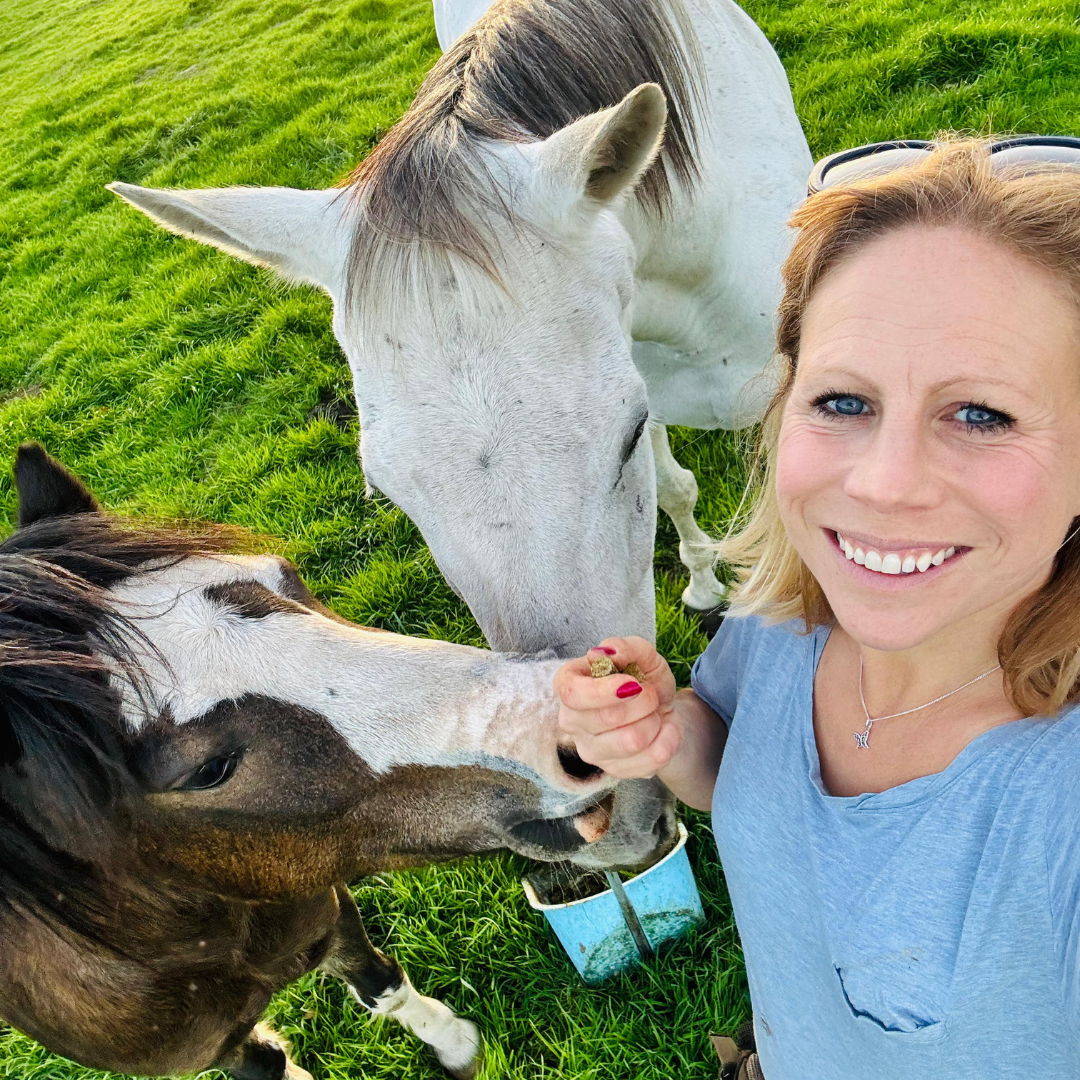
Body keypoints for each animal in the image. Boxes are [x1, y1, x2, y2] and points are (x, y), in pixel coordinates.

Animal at [0, 444, 674, 1080]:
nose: (581, 724)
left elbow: (382, 986)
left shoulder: (327, 912)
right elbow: (268, 1064)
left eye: (286, 574)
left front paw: (457, 1047)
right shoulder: (210, 1050)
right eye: (208, 771)